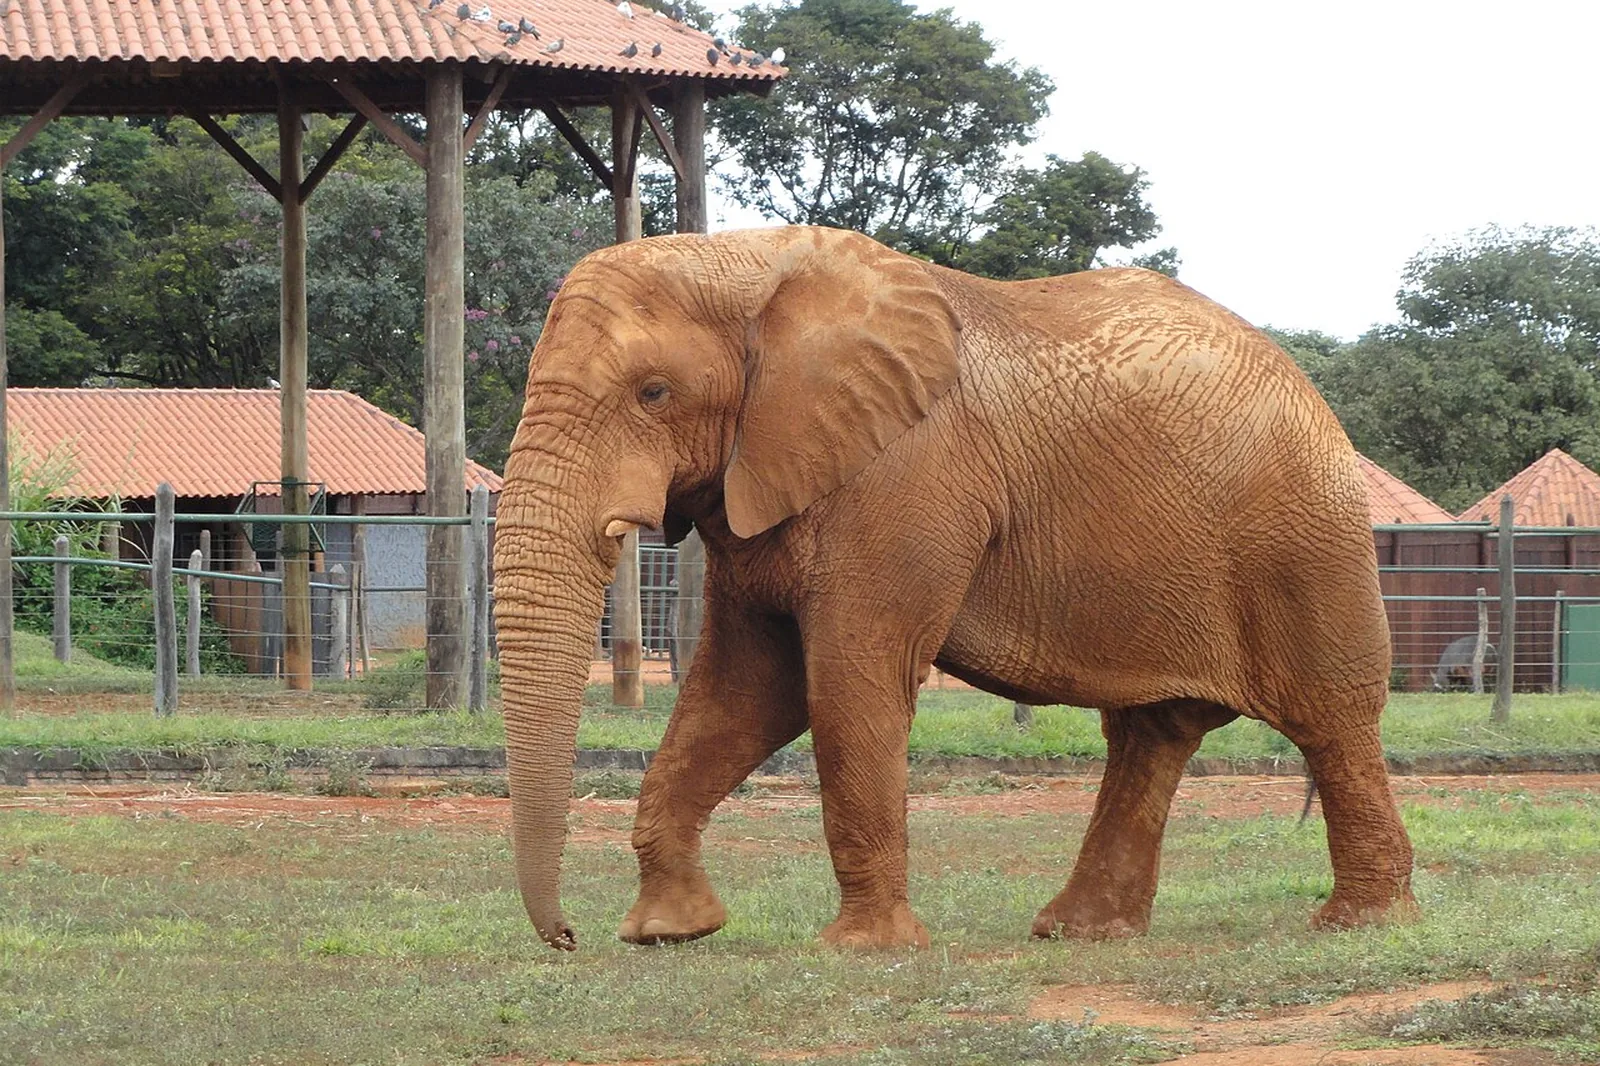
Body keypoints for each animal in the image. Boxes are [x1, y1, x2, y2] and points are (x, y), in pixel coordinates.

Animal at [492, 225, 1416, 951]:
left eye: (653, 392)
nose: (566, 937)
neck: (749, 261)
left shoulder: (906, 475)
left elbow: (847, 681)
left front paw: (863, 949)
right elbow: (746, 691)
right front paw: (670, 931)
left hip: (1304, 535)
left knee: (1331, 721)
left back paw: (1358, 924)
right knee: (1151, 733)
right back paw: (1078, 933)